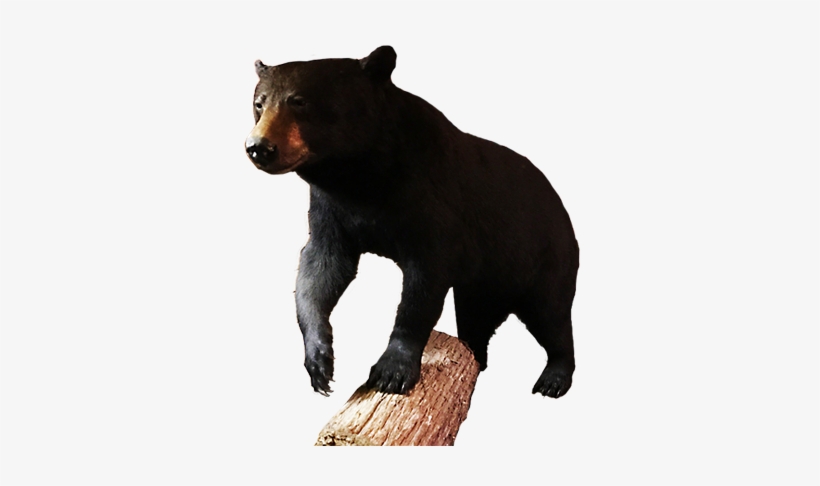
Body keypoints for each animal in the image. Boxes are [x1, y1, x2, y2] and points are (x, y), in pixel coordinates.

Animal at [245, 46, 579, 399]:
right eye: (259, 103)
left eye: (299, 101)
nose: (259, 147)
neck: (359, 175)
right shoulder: (330, 207)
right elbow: (320, 267)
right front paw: (319, 361)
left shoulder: (432, 198)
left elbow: (423, 283)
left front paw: (392, 371)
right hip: (484, 283)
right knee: (475, 316)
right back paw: (475, 357)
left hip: (546, 255)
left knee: (552, 314)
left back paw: (554, 377)